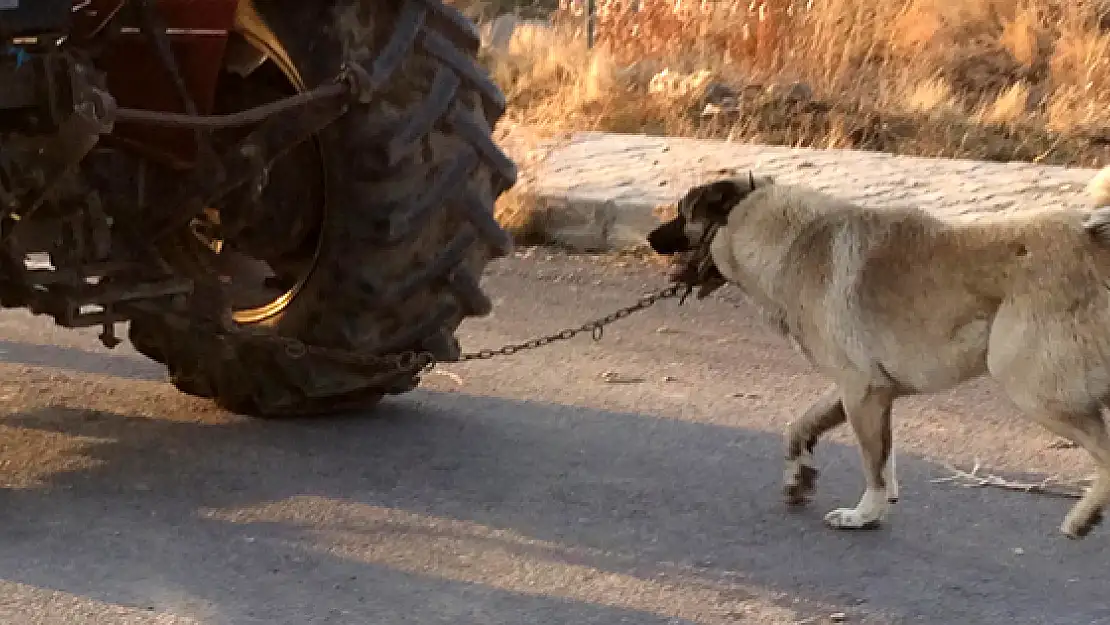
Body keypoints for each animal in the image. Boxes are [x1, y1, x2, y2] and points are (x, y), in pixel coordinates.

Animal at [648, 165, 1110, 537]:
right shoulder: (864, 390)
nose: (651, 237)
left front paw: (864, 515)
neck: (766, 226)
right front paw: (801, 477)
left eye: (683, 214)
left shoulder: (861, 392)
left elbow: (872, 463)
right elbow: (807, 429)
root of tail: (1094, 240)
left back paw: (1083, 518)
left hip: (1030, 385)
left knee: (1106, 454)